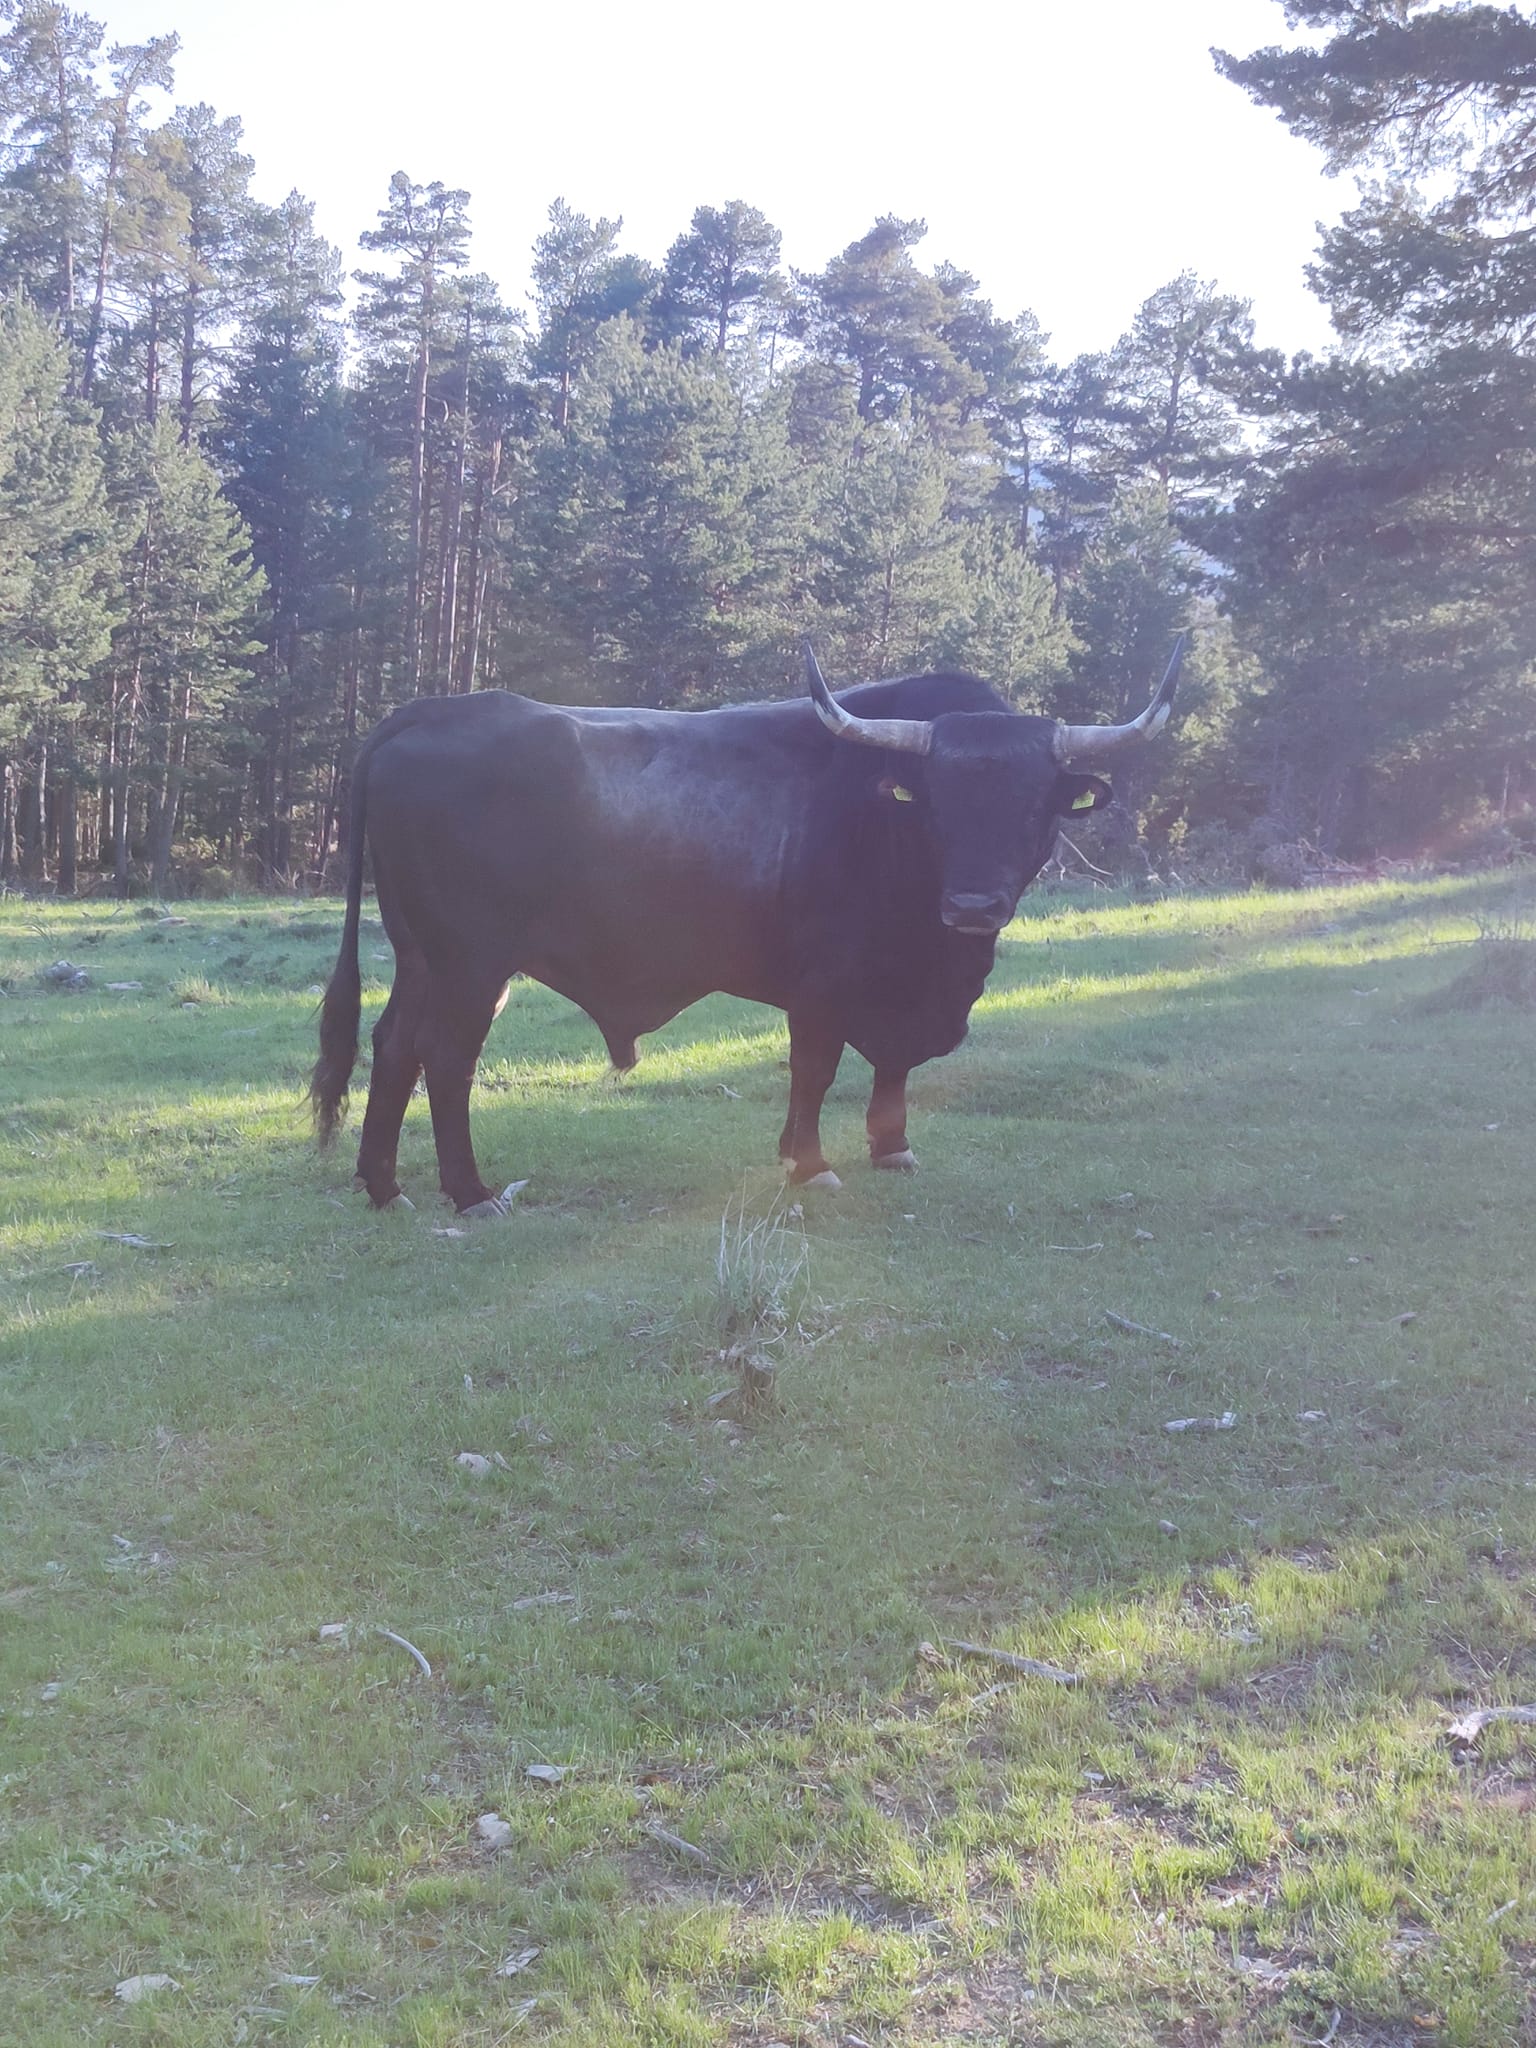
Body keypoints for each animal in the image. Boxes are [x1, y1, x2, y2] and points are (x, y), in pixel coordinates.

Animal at [309, 643, 1179, 1212]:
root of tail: (429, 713)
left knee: (394, 1045)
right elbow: (816, 1070)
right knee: (446, 1057)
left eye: (1033, 804)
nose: (972, 907)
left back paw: (382, 1183)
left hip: (422, 954)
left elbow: (892, 1069)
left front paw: (889, 1146)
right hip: (473, 962)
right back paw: (469, 1192)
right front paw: (811, 1163)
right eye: (936, 801)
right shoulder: (824, 986)